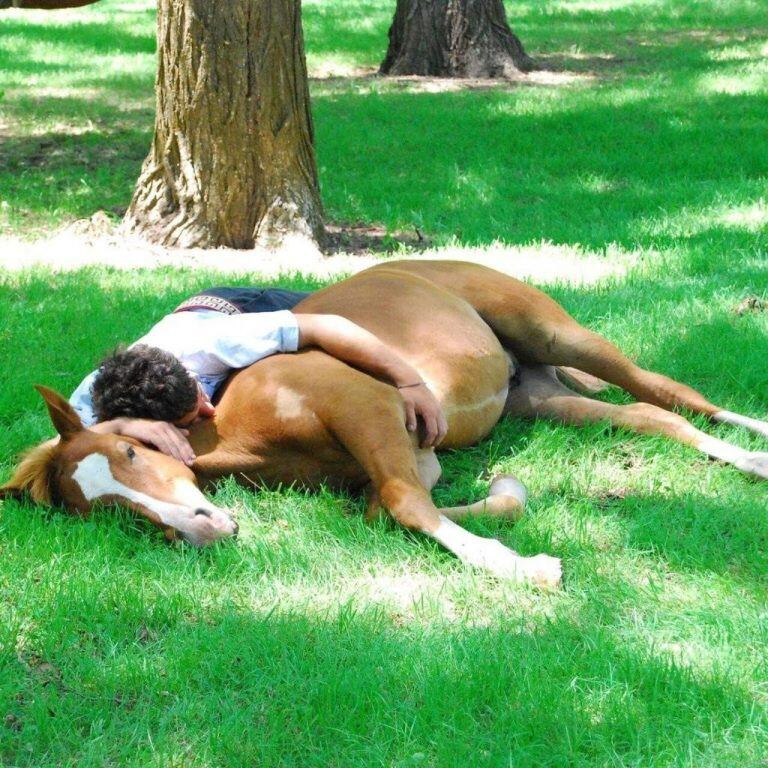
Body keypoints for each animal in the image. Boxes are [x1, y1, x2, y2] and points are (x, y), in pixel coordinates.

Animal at [1, 260, 768, 588]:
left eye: (130, 452)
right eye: (108, 514)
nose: (204, 530)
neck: (233, 421)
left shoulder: (366, 409)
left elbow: (403, 504)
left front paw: (527, 568)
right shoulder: (397, 455)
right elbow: (394, 506)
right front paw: (511, 500)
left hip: (557, 335)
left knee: (667, 391)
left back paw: (757, 448)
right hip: (541, 396)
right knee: (647, 416)